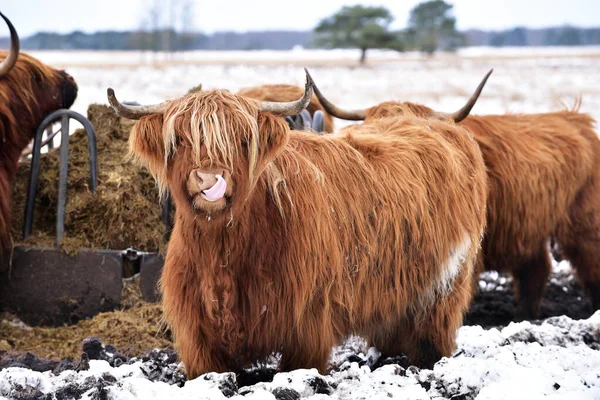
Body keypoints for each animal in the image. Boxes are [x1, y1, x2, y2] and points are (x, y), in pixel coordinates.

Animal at [109, 69, 488, 378]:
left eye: (243, 140)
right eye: (181, 139)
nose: (208, 178)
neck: (225, 250)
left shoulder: (308, 322)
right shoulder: (198, 334)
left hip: (446, 282)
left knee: (432, 332)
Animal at [312, 70, 600, 318]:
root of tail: (575, 118)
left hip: (583, 221)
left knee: (588, 262)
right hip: (529, 228)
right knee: (536, 269)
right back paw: (525, 315)